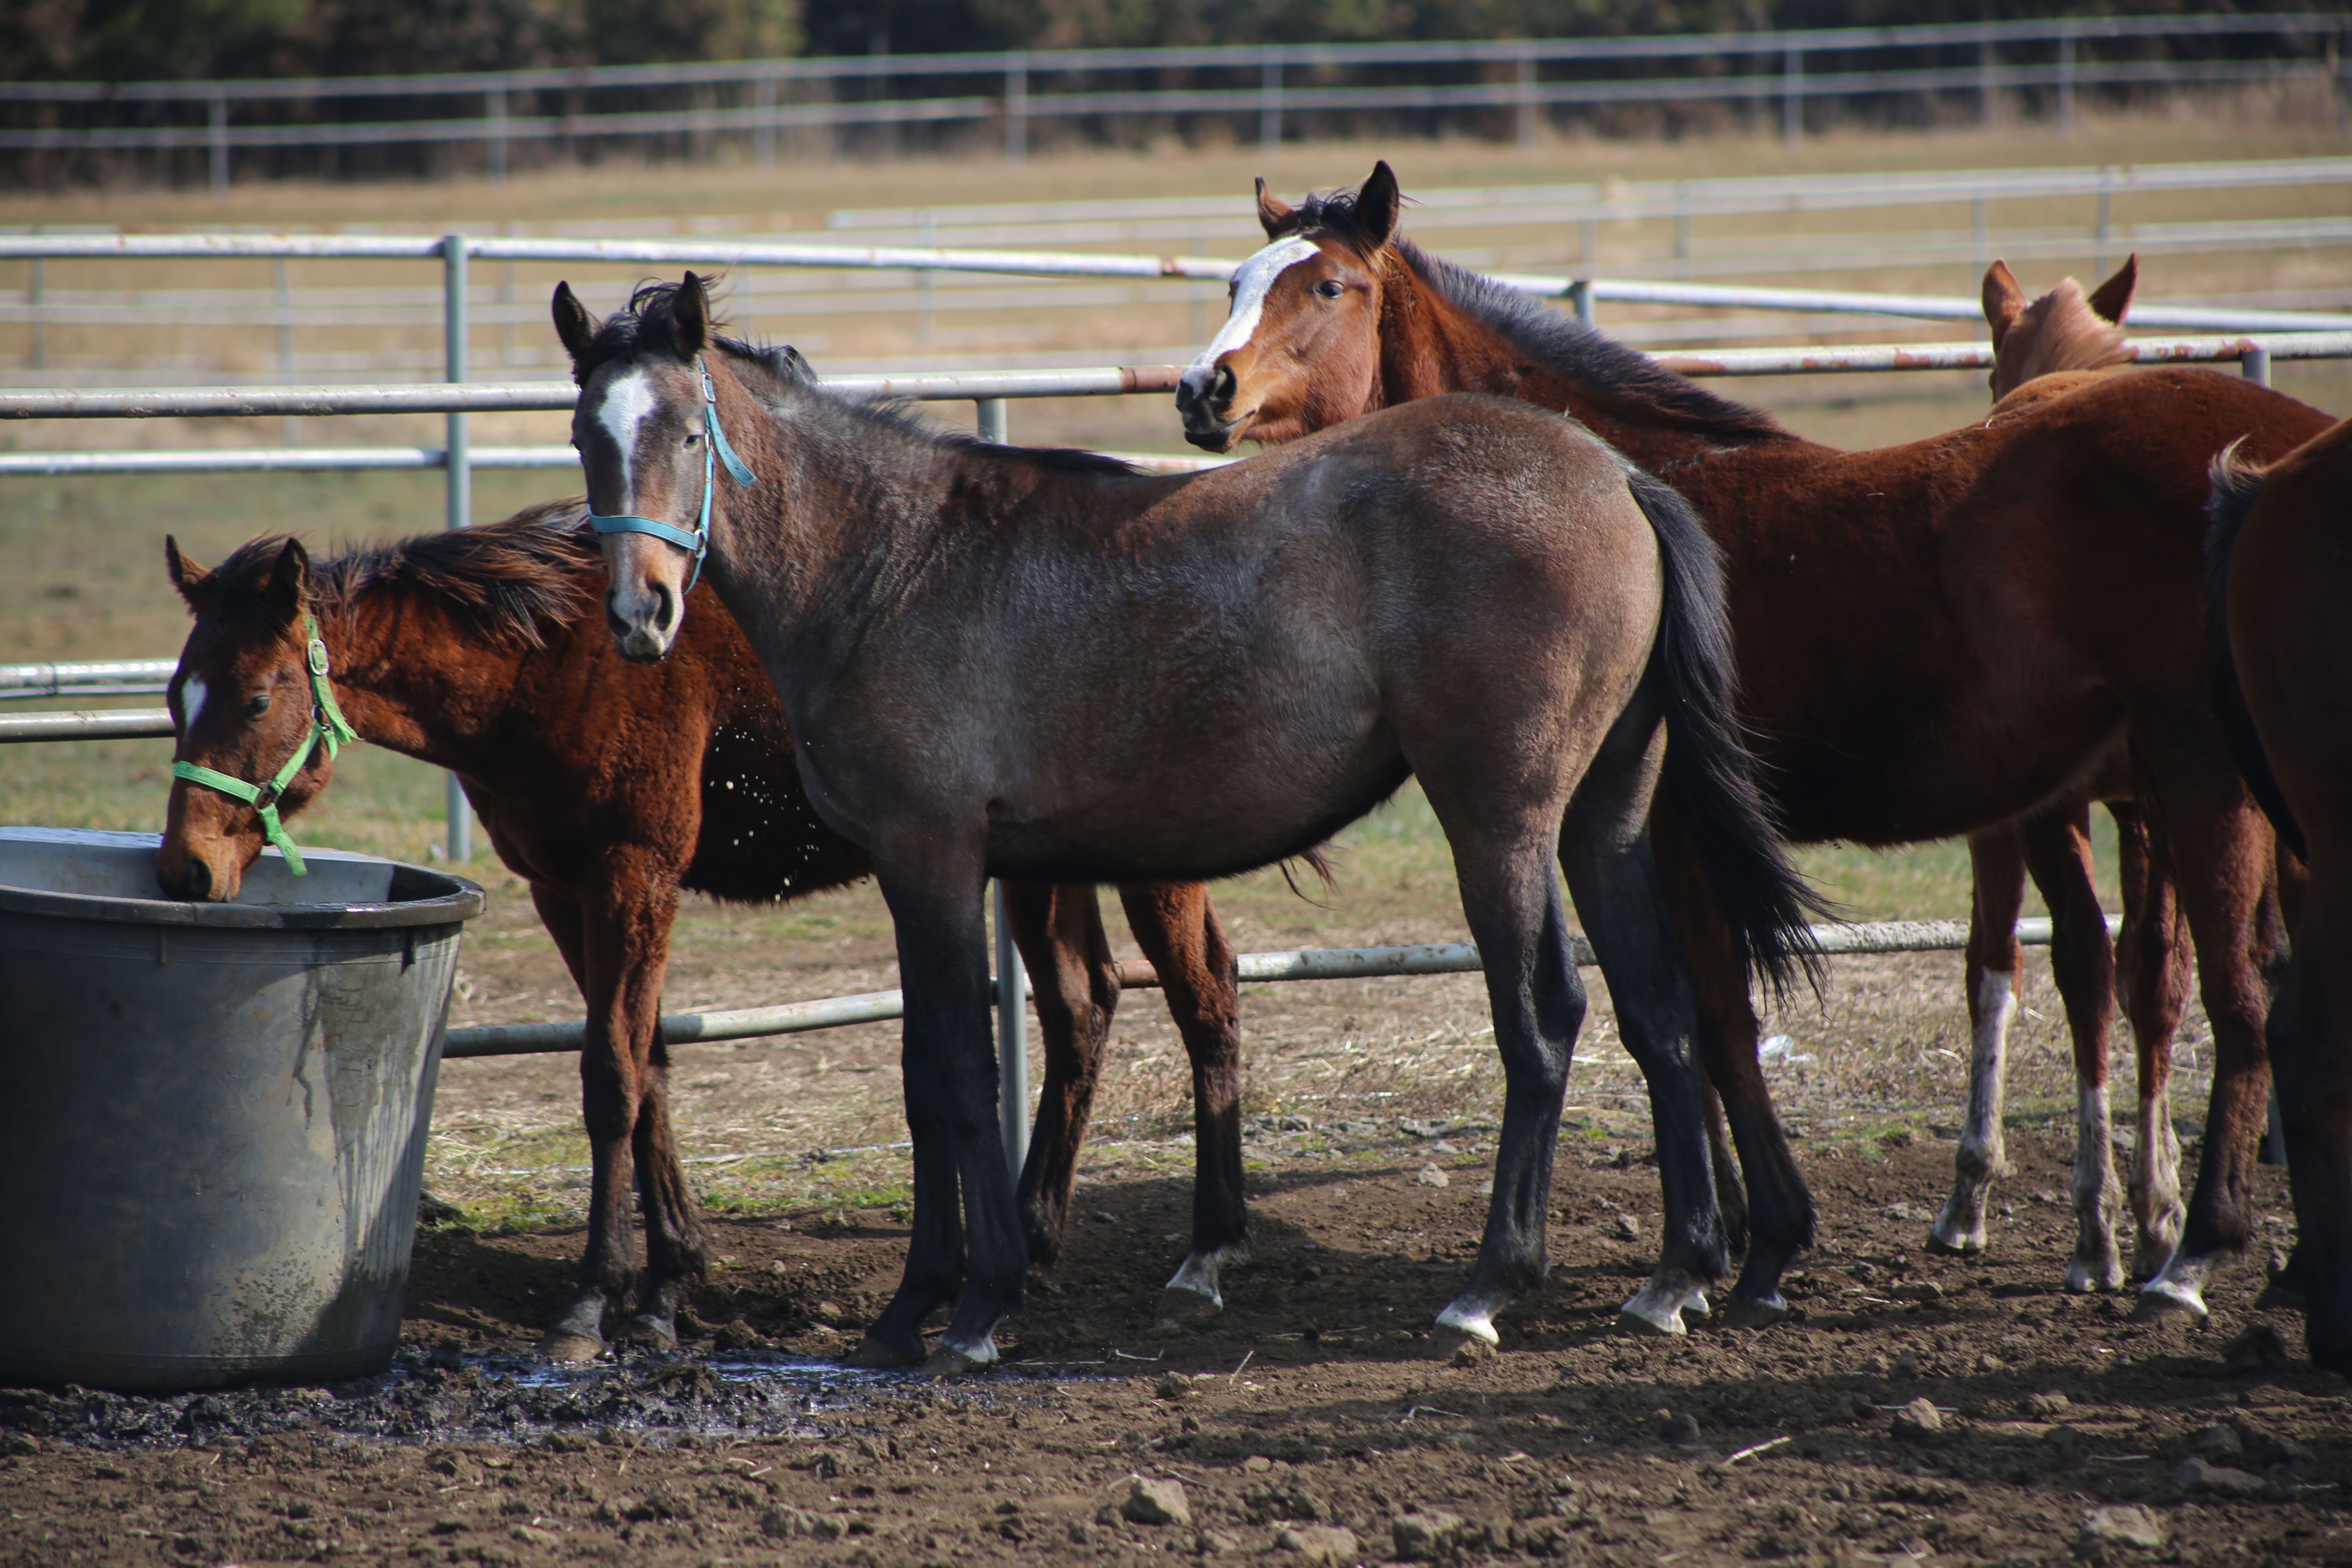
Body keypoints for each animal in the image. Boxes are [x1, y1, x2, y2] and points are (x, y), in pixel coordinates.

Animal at [156, 505, 1261, 1363]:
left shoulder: (634, 871)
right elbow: (647, 1063)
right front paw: (667, 1284)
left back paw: (1202, 1258)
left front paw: (593, 1302)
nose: (184, 870)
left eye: (254, 696)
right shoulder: (563, 890)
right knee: (1083, 1002)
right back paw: (1034, 1242)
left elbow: (610, 1073)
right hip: (1037, 867)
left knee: (1204, 993)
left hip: (1147, 856)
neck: (553, 660)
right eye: (175, 694)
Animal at [559, 272, 1825, 1373]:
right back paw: (1677, 1273)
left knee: (1544, 1016)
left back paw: (1488, 1287)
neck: (889, 564)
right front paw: (921, 1302)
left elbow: (956, 1073)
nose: (640, 614)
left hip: (1499, 822)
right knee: (1660, 1008)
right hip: (1602, 814)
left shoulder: (932, 859)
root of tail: (1614, 477)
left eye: (687, 433)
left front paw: (968, 1304)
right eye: (585, 437)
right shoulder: (932, 871)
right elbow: (932, 1074)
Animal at [1185, 165, 2323, 1335]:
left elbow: (1713, 1021)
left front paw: (1744, 1248)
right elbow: (1693, 1023)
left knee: (2236, 993)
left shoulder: (1676, 833)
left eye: (1328, 285)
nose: (1201, 390)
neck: (1621, 489)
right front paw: (1730, 1234)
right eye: (1235, 281)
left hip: (2196, 776)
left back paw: (2191, 1253)